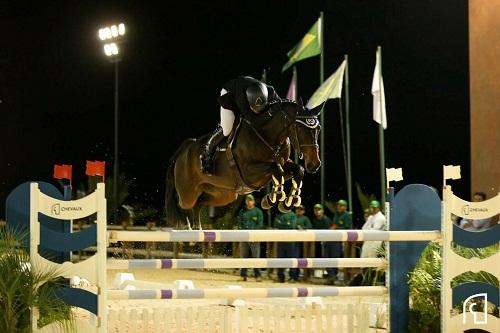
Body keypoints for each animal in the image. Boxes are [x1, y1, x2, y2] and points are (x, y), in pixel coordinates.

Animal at [166, 98, 322, 228]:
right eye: (300, 128)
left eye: (318, 129)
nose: (314, 164)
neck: (269, 137)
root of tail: (186, 147)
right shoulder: (248, 173)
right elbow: (276, 168)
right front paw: (271, 199)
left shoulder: (284, 165)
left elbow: (297, 170)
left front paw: (289, 202)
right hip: (188, 193)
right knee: (183, 205)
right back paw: (187, 228)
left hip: (223, 195)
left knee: (198, 204)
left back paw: (197, 229)